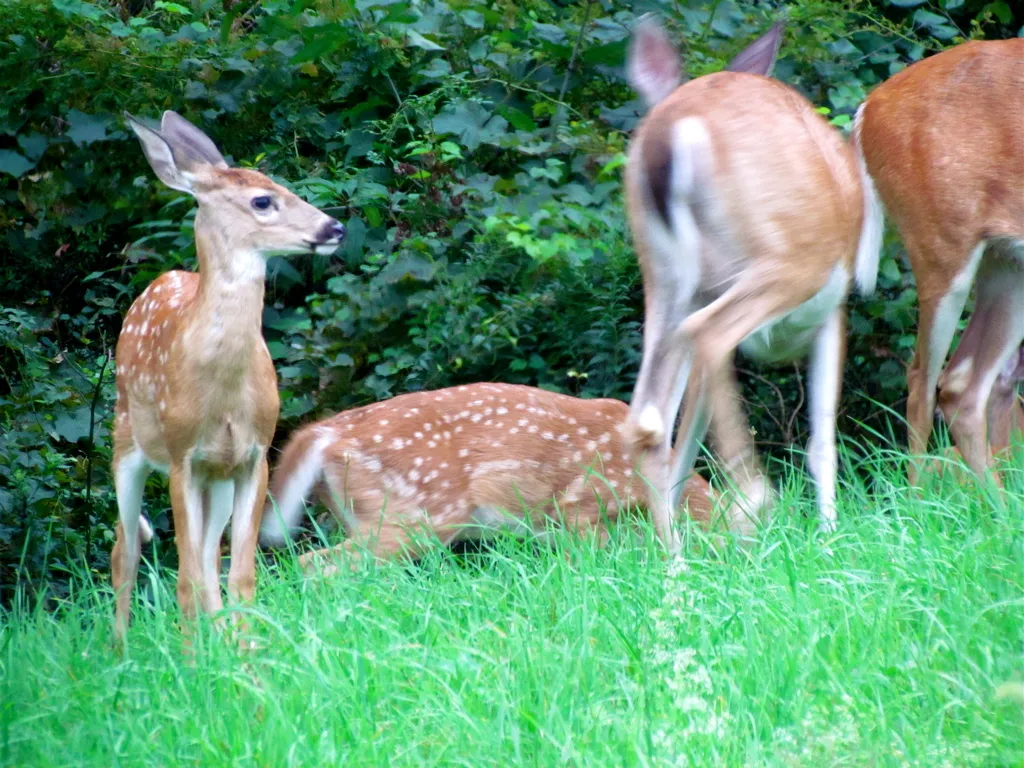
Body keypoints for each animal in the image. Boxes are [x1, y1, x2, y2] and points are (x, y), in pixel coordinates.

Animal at [112, 110, 345, 640]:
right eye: (262, 200)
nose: (335, 226)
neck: (223, 395)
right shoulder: (183, 457)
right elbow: (184, 579)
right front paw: (192, 656)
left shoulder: (254, 454)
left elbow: (239, 573)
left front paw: (244, 653)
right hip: (125, 442)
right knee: (125, 550)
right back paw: (118, 649)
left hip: (215, 481)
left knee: (204, 556)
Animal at [620, 18, 883, 552]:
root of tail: (672, 126)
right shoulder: (832, 312)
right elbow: (822, 439)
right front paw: (830, 537)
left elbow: (689, 428)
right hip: (789, 262)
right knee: (709, 335)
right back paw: (755, 497)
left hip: (666, 277)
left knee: (647, 417)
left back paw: (675, 562)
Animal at [853, 39, 1024, 488]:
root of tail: (867, 109)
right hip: (939, 242)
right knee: (922, 380)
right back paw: (916, 502)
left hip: (1006, 260)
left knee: (964, 384)